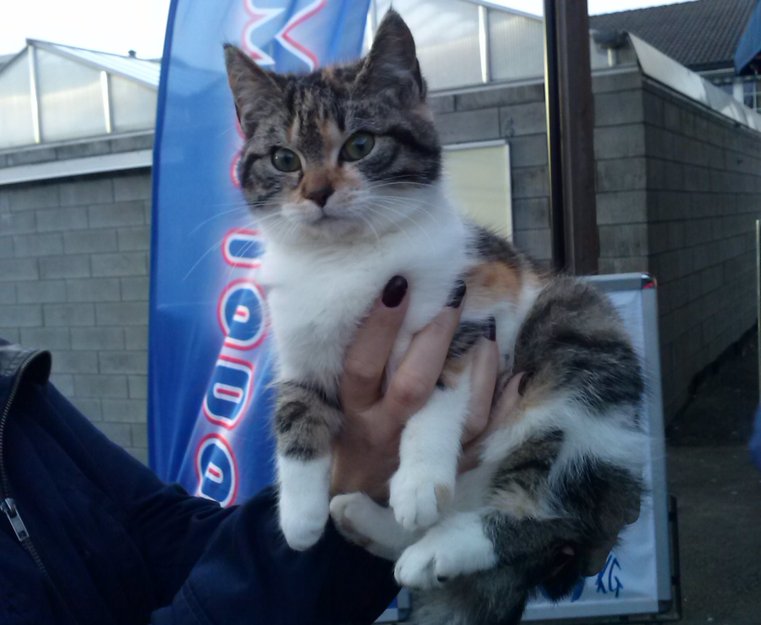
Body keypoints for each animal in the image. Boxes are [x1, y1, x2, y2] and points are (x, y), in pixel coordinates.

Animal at [224, 10, 645, 624]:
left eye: (360, 144)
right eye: (284, 159)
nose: (319, 193)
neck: (344, 259)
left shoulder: (476, 301)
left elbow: (438, 386)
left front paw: (419, 478)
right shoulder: (298, 343)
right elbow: (296, 408)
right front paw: (299, 513)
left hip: (578, 333)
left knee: (549, 512)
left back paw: (445, 544)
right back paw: (376, 525)